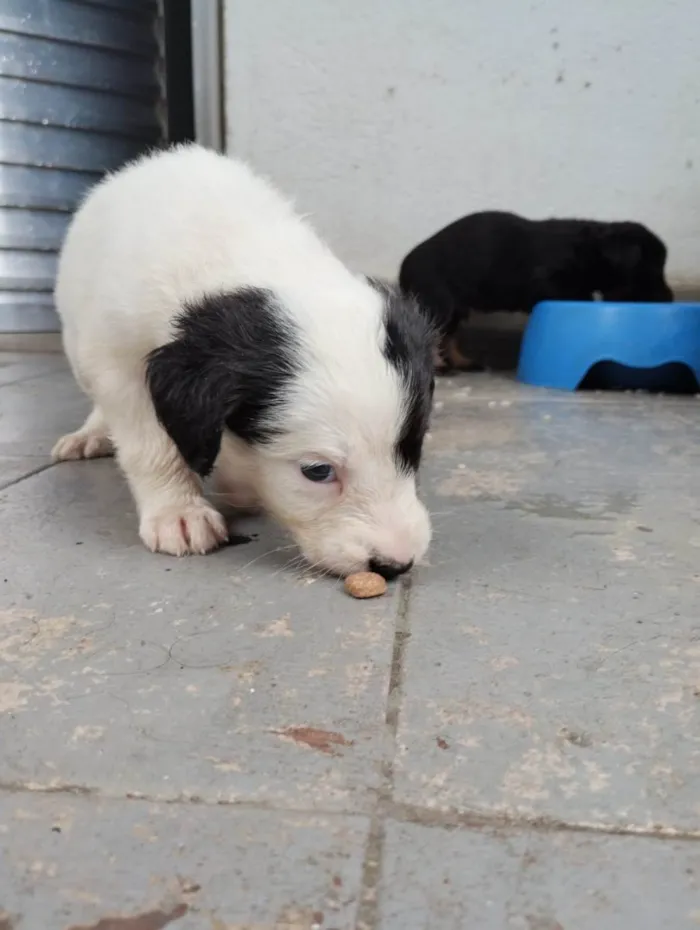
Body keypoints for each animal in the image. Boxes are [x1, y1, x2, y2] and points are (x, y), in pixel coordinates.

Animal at [52, 144, 432, 576]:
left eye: (413, 445)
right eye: (317, 471)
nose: (396, 564)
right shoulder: (116, 357)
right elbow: (149, 444)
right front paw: (177, 511)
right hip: (77, 340)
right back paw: (91, 434)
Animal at [400, 210, 672, 370]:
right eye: (651, 271)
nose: (670, 299)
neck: (591, 250)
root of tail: (405, 265)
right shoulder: (550, 280)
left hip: (455, 309)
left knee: (448, 335)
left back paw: (461, 362)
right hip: (439, 303)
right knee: (435, 333)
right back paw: (439, 365)